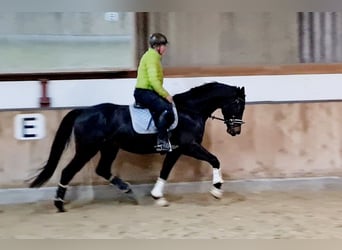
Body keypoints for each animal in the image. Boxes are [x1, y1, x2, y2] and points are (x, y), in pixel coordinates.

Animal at [28, 81, 244, 211]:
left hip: (109, 147)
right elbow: (215, 160)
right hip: (87, 149)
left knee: (102, 169)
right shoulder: (189, 146)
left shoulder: (176, 150)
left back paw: (128, 191)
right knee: (68, 171)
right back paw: (59, 204)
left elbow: (165, 171)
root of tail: (83, 111)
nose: (236, 131)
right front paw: (216, 190)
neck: (189, 111)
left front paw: (158, 196)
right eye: (238, 104)